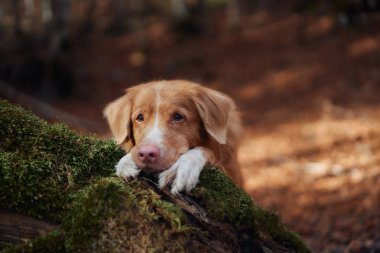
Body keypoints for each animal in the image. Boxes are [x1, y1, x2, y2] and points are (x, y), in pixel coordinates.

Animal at [103, 80, 243, 195]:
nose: (146, 153)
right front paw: (127, 161)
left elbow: (206, 150)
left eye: (178, 116)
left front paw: (181, 169)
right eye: (140, 117)